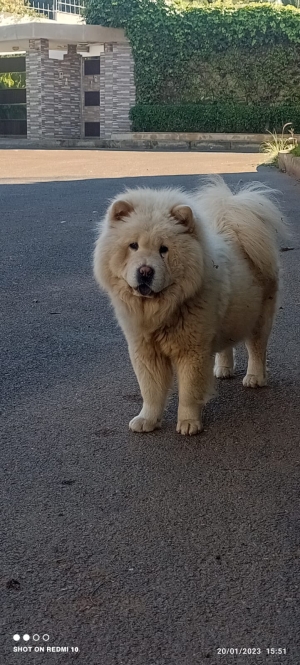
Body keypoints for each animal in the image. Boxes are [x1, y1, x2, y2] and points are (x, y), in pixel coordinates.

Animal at [94, 176, 286, 436]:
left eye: (163, 250)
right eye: (133, 246)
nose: (145, 271)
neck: (161, 309)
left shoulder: (191, 351)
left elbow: (188, 391)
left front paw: (188, 424)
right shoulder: (145, 350)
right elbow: (150, 390)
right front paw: (147, 420)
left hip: (259, 318)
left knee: (256, 349)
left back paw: (254, 378)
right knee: (226, 345)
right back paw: (223, 369)